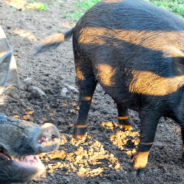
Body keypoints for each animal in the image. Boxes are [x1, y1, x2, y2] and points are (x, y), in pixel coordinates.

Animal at [34, 0, 184, 175]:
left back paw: (129, 128)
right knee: (85, 99)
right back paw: (80, 137)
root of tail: (81, 20)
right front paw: (136, 171)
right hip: (82, 61)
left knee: (118, 97)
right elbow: (148, 138)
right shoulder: (151, 103)